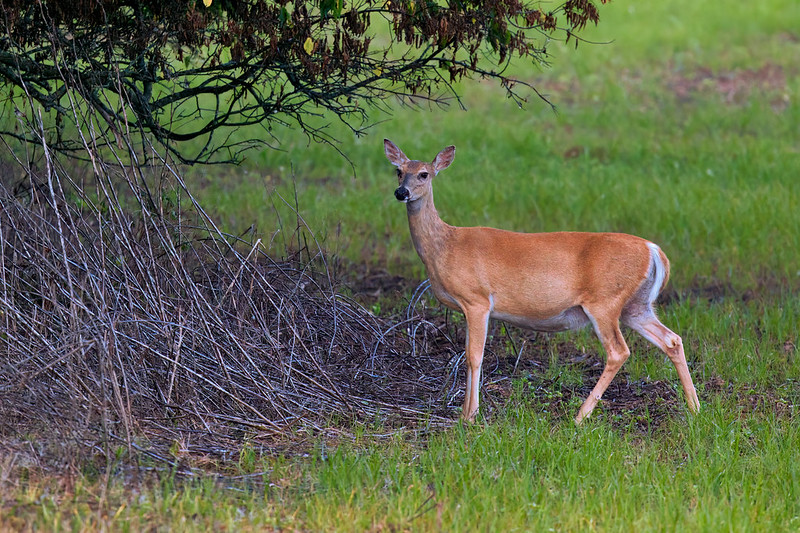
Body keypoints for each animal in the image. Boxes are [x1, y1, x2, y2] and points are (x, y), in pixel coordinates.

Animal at [382, 139, 700, 422]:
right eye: (399, 171)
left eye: (424, 174)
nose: (401, 192)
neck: (444, 246)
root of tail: (654, 250)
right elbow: (469, 354)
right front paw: (465, 413)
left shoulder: (477, 299)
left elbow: (474, 356)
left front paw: (469, 416)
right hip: (636, 305)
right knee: (672, 339)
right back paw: (695, 408)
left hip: (605, 300)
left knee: (618, 351)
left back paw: (579, 417)